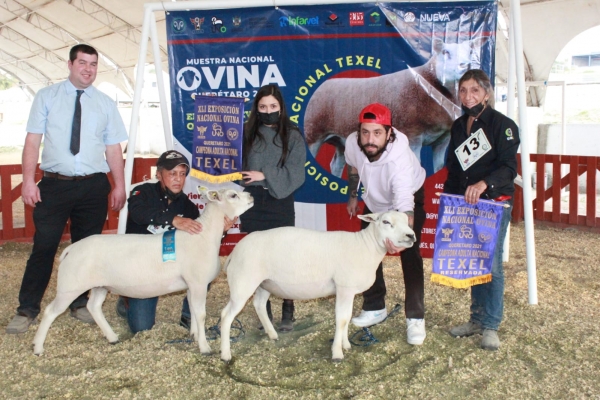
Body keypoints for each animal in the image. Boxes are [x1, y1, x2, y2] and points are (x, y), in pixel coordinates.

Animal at [32, 189, 253, 354]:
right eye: (233, 195)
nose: (251, 196)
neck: (204, 236)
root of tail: (70, 249)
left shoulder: (192, 285)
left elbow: (192, 309)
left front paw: (195, 336)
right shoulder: (198, 283)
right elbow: (200, 314)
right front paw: (205, 347)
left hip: (100, 285)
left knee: (93, 307)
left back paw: (112, 337)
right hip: (70, 287)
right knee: (50, 311)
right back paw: (38, 347)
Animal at [220, 212, 418, 362]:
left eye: (406, 220)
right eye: (386, 222)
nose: (411, 236)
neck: (366, 246)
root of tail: (235, 250)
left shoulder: (348, 290)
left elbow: (347, 317)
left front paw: (346, 345)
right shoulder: (344, 287)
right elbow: (342, 319)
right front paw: (337, 353)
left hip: (264, 283)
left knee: (259, 305)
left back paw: (272, 334)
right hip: (243, 282)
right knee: (226, 315)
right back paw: (225, 354)